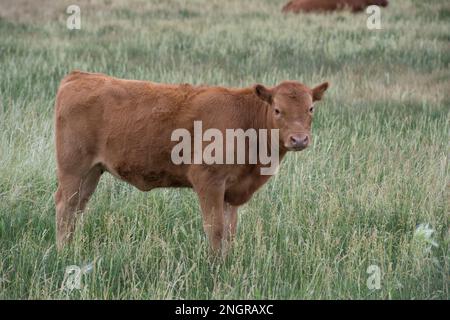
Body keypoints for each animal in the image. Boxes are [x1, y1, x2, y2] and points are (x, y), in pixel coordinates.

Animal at [54, 70, 328, 255]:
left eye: (311, 108)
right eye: (278, 110)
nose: (299, 139)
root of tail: (80, 76)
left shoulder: (232, 190)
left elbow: (230, 232)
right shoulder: (208, 179)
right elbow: (215, 228)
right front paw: (216, 268)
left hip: (92, 172)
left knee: (78, 207)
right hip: (73, 169)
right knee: (65, 206)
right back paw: (62, 253)